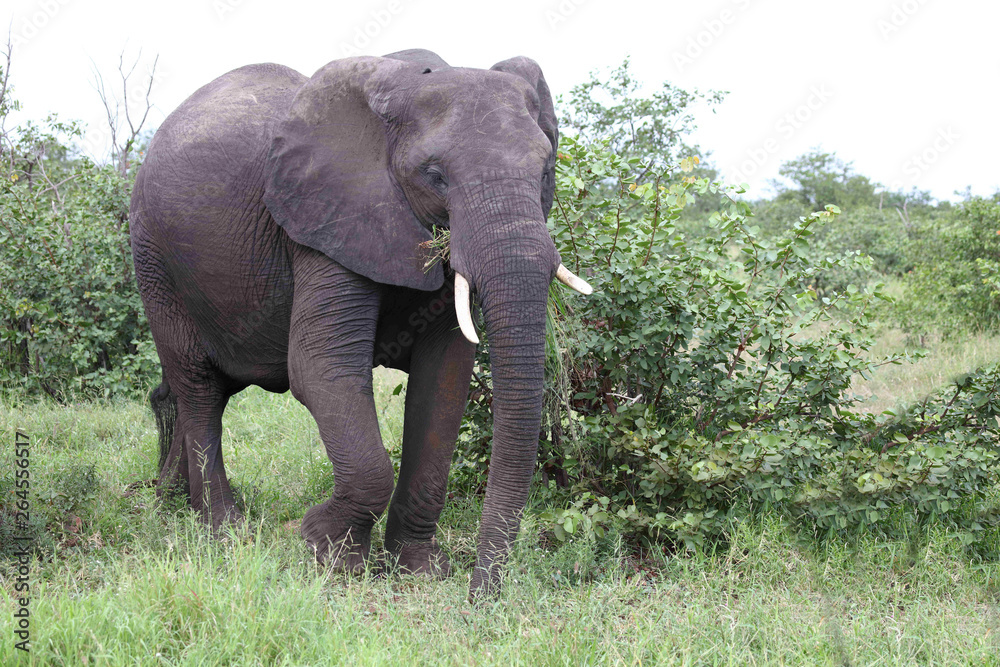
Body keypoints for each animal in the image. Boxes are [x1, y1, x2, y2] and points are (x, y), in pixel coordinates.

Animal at [128, 48, 588, 600]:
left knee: (203, 390)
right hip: (153, 257)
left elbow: (444, 379)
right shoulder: (325, 220)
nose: (481, 596)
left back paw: (171, 501)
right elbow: (320, 369)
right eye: (435, 175)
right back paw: (225, 531)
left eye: (545, 171)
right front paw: (327, 555)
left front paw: (419, 571)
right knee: (198, 385)